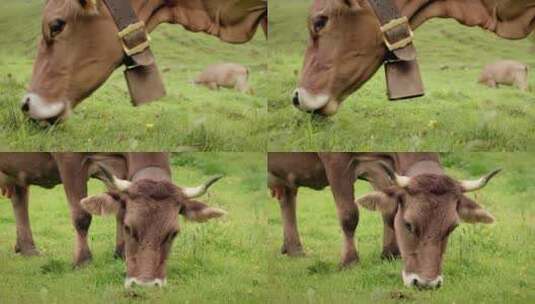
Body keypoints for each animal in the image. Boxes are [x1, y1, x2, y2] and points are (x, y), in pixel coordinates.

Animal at [0, 152, 226, 288]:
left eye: (174, 233)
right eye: (129, 228)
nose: (145, 285)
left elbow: (119, 211)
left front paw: (119, 253)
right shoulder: (70, 161)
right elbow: (82, 216)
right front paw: (83, 260)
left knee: (20, 198)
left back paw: (27, 248)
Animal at [270, 153, 500, 288]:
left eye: (451, 228)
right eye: (409, 224)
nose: (426, 284)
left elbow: (389, 213)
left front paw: (390, 254)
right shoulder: (337, 163)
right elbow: (349, 215)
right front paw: (349, 261)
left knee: (287, 198)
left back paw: (293, 248)